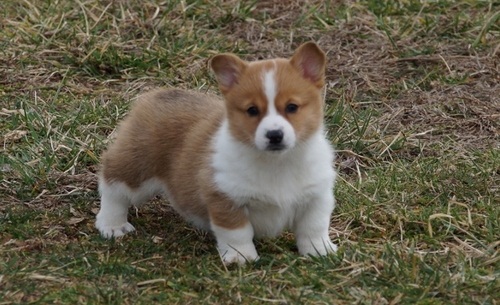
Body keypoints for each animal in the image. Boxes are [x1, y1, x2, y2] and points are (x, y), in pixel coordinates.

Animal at [95, 42, 338, 264]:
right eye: (252, 110)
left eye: (292, 107)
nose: (274, 135)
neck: (277, 163)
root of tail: (160, 93)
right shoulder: (225, 198)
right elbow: (237, 232)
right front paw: (241, 258)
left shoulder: (317, 196)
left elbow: (314, 227)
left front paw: (320, 252)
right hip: (137, 169)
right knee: (112, 184)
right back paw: (112, 225)